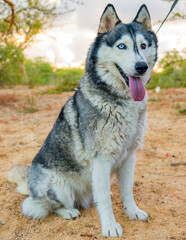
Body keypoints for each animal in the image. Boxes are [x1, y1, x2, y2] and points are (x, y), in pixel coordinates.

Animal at [8, 4, 157, 238]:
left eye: (143, 46)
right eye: (121, 46)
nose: (141, 66)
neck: (120, 101)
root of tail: (31, 187)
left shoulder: (129, 155)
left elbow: (127, 190)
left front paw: (132, 211)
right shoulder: (101, 160)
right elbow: (105, 200)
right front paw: (110, 226)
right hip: (57, 185)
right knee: (40, 206)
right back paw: (68, 211)